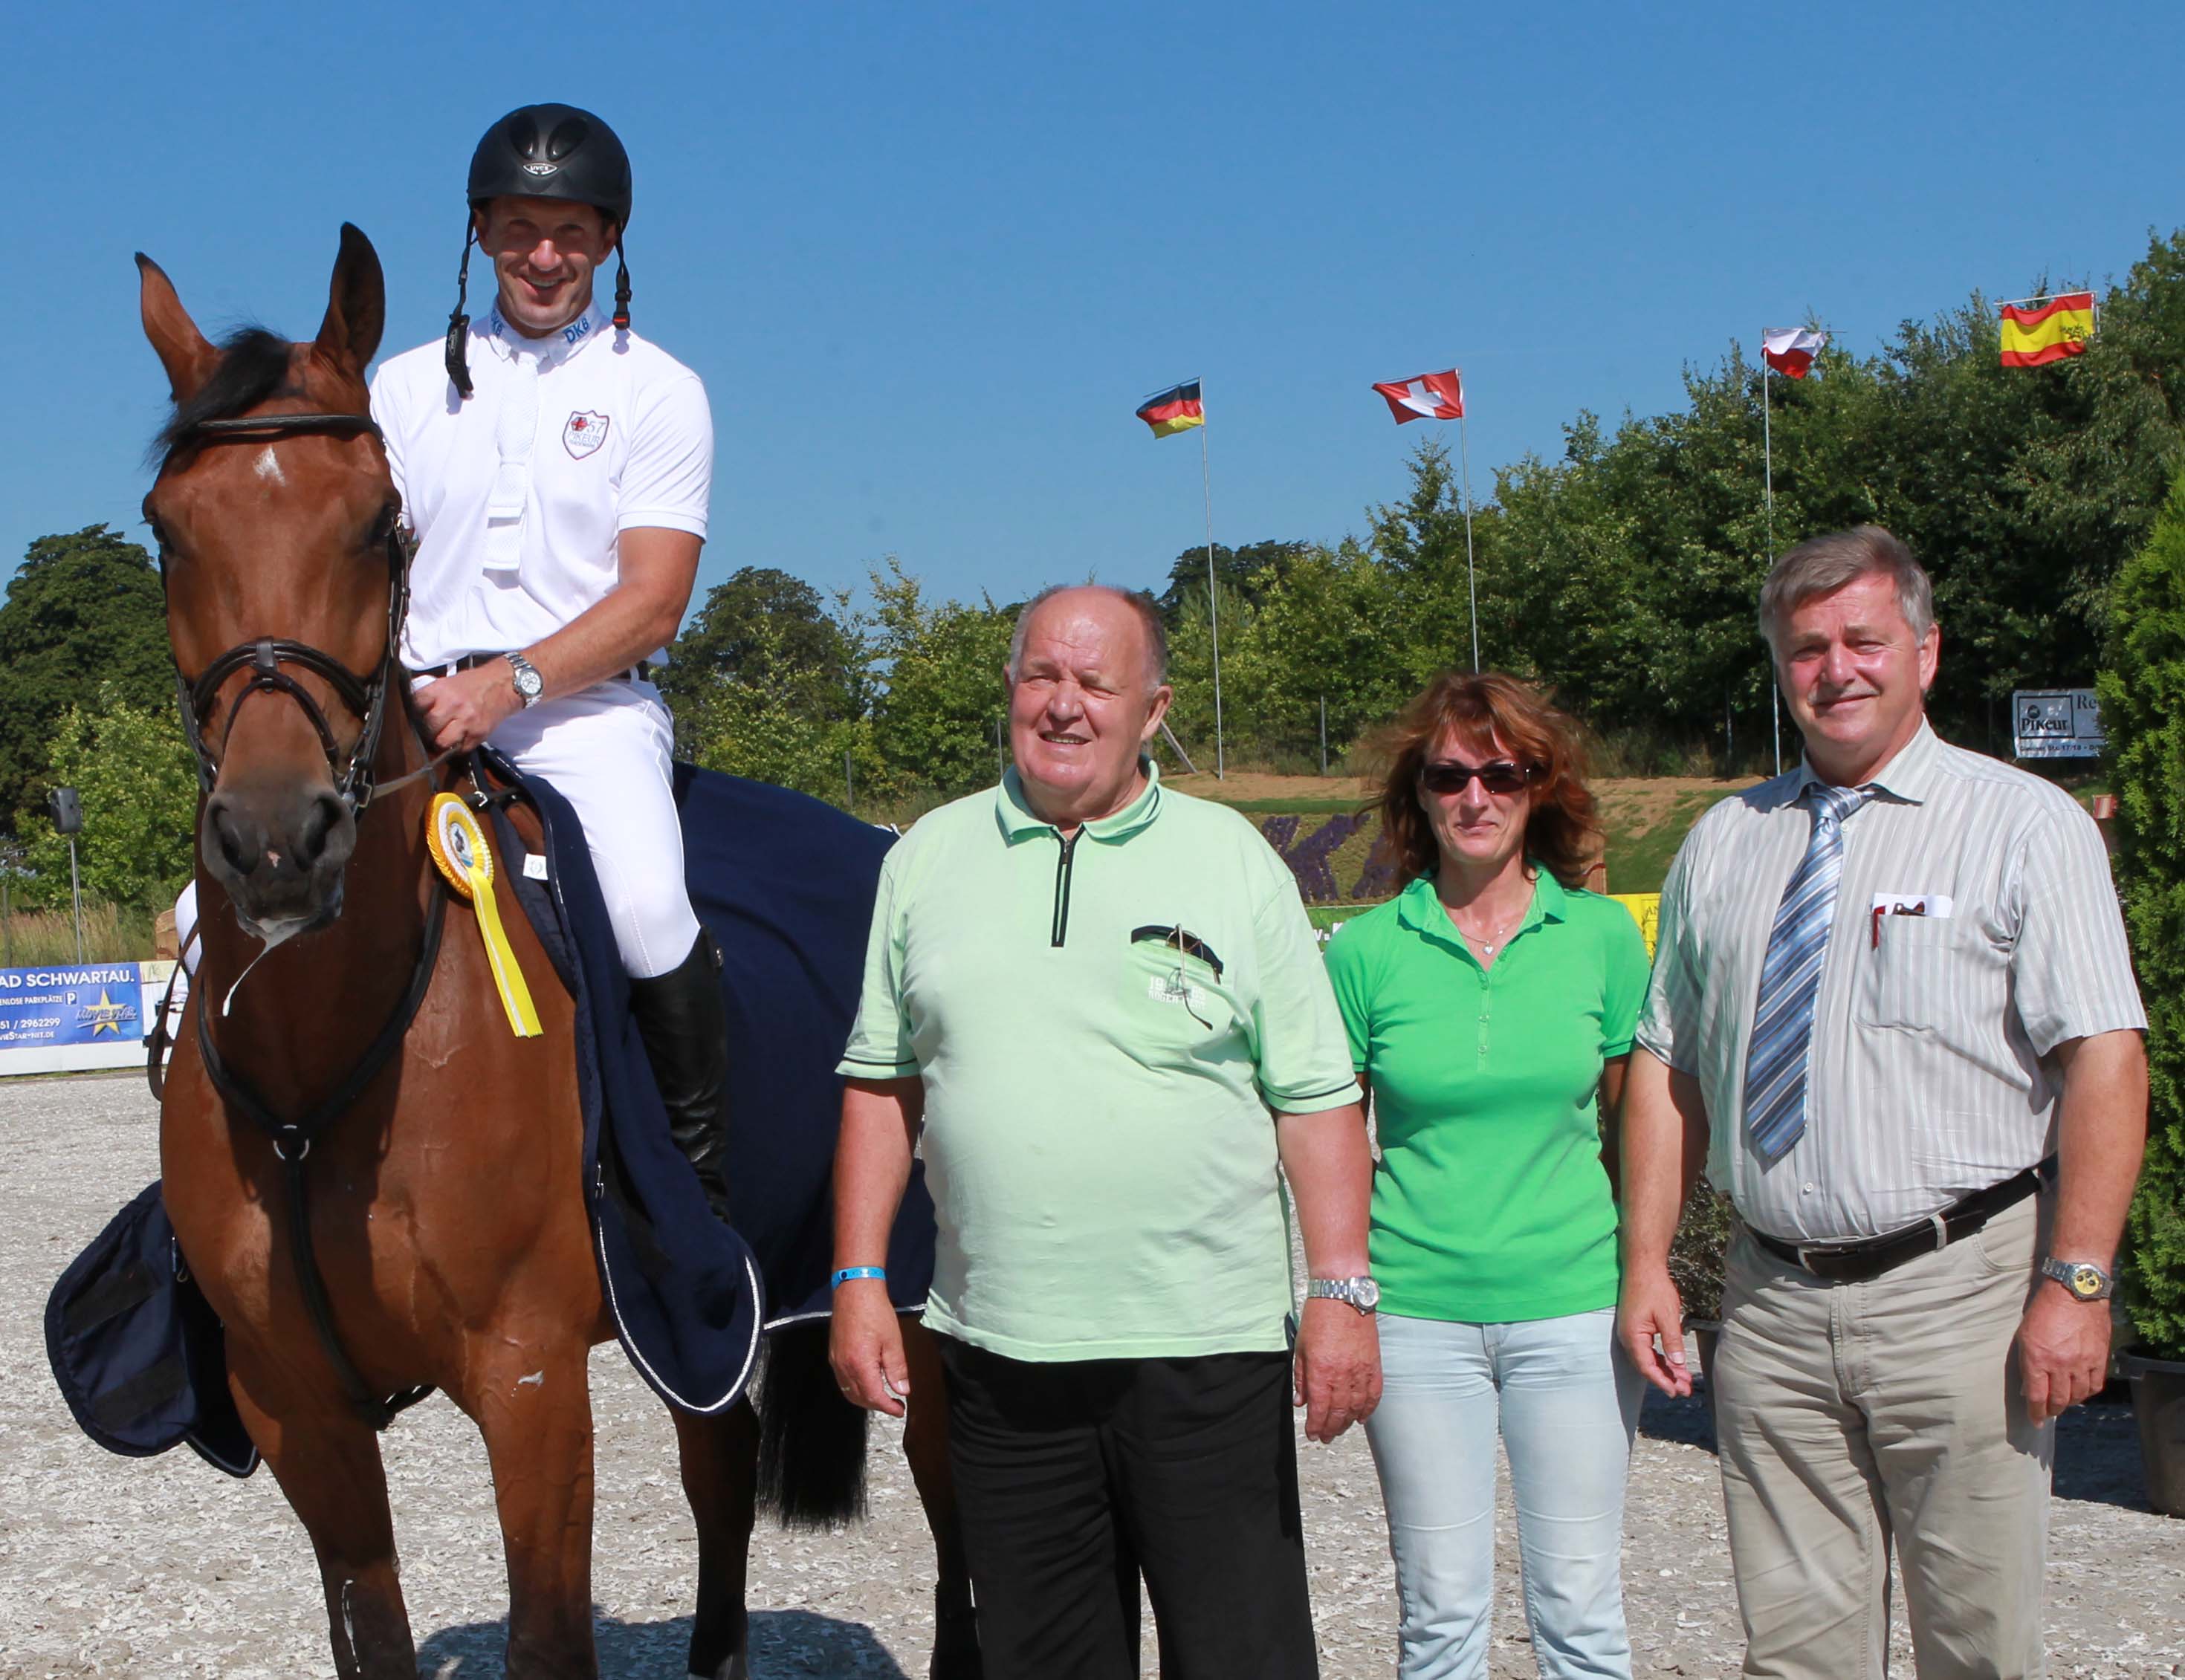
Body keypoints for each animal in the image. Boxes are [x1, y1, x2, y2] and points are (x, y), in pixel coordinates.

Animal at [140, 226, 979, 1678]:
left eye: (381, 522)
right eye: (166, 531)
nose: (275, 841)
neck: (320, 1066)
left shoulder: (528, 1380)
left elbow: (549, 1634)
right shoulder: (294, 1403)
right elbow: (371, 1626)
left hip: (909, 1299)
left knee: (952, 1506)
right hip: (709, 1313)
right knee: (721, 1468)